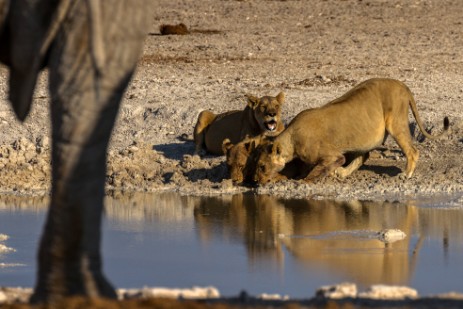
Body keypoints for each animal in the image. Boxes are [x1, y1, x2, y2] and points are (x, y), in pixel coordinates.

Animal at [254, 77, 450, 183]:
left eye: (262, 166)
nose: (255, 181)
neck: (291, 140)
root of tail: (403, 86)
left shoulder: (332, 155)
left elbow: (320, 168)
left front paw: (306, 180)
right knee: (364, 155)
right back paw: (343, 173)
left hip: (396, 123)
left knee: (412, 151)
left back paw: (406, 174)